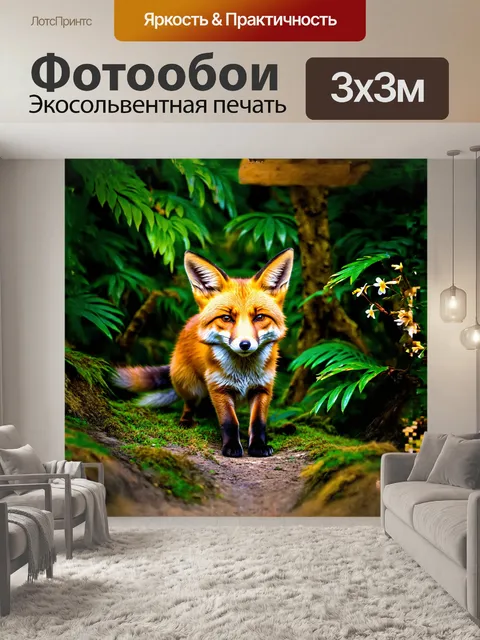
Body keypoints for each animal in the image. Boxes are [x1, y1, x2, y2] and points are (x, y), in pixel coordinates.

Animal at [114, 248, 294, 458]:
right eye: (227, 318)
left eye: (259, 317)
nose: (245, 344)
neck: (243, 372)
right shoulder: (218, 387)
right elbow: (229, 421)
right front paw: (231, 446)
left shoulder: (263, 388)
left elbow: (258, 422)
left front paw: (258, 446)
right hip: (191, 385)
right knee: (190, 404)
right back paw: (187, 421)